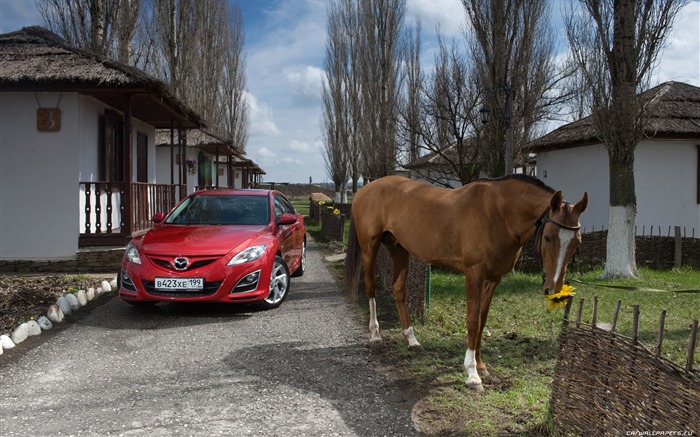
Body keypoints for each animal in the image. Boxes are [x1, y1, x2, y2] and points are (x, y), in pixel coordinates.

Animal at [344, 175, 584, 390]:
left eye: (576, 242)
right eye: (548, 236)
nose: (554, 290)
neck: (499, 214)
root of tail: (365, 189)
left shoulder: (493, 278)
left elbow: (482, 320)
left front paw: (481, 365)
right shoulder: (474, 273)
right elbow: (472, 320)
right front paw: (472, 373)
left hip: (399, 249)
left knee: (398, 290)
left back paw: (412, 339)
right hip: (370, 247)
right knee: (370, 287)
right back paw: (375, 334)